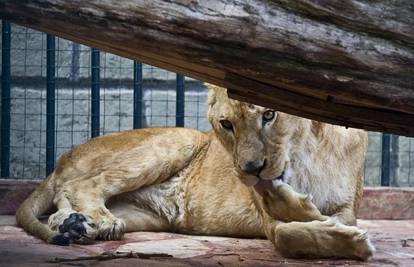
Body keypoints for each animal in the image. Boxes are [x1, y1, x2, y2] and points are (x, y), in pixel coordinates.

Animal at [15, 85, 376, 260]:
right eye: (227, 124)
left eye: (270, 115)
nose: (250, 170)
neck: (305, 149)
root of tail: (65, 156)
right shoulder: (267, 220)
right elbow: (288, 235)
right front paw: (350, 240)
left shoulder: (347, 207)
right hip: (178, 140)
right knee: (83, 184)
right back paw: (95, 222)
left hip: (147, 215)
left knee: (65, 197)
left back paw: (75, 225)